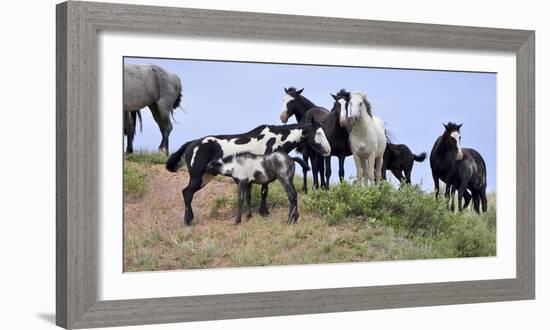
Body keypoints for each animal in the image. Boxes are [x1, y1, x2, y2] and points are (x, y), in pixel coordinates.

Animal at [167, 120, 332, 226]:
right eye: (318, 133)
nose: (328, 150)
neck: (275, 139)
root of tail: (191, 144)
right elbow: (264, 192)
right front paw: (263, 212)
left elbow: (250, 195)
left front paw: (250, 215)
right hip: (197, 177)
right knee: (188, 193)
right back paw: (188, 221)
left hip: (205, 177)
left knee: (186, 192)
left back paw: (189, 219)